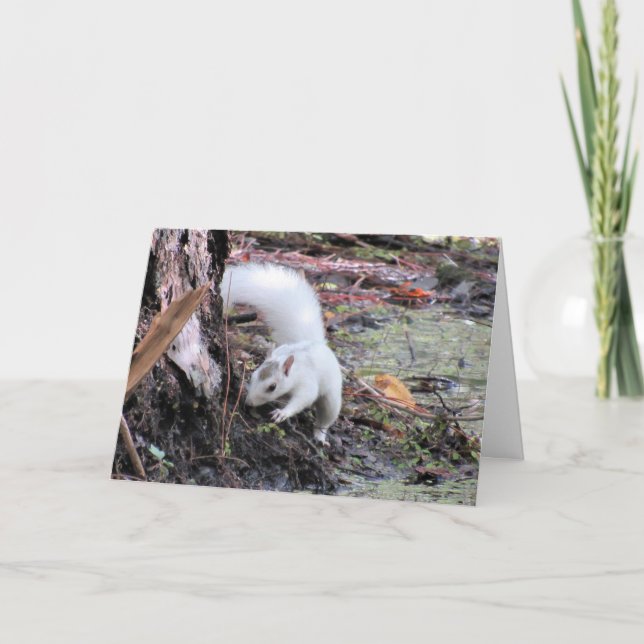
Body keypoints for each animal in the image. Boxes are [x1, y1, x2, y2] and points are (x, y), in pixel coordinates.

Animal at [221, 262, 342, 444]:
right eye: (252, 377)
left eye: (272, 387)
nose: (249, 403)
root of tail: (318, 343)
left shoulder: (306, 382)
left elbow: (304, 397)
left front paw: (282, 413)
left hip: (332, 395)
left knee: (326, 416)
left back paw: (320, 435)